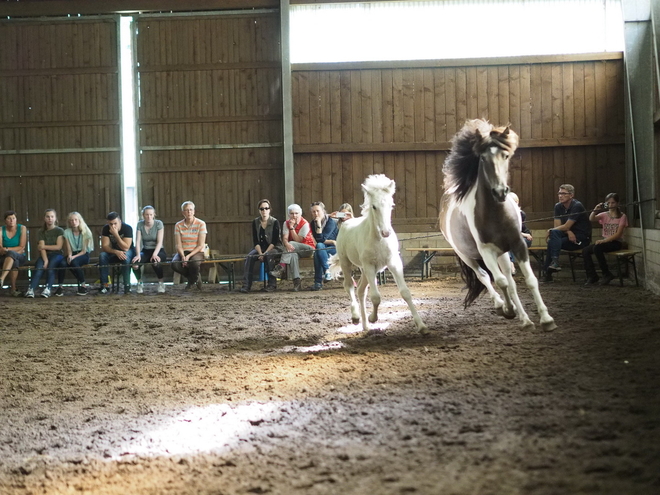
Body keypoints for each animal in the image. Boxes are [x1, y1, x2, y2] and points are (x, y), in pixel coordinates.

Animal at [328, 174, 428, 334]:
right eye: (374, 206)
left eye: (391, 205)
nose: (386, 232)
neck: (379, 240)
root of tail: (345, 223)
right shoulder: (370, 266)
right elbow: (375, 297)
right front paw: (372, 318)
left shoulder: (393, 263)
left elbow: (405, 292)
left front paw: (421, 325)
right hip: (347, 263)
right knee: (349, 285)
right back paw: (356, 317)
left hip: (363, 270)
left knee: (361, 290)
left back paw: (365, 326)